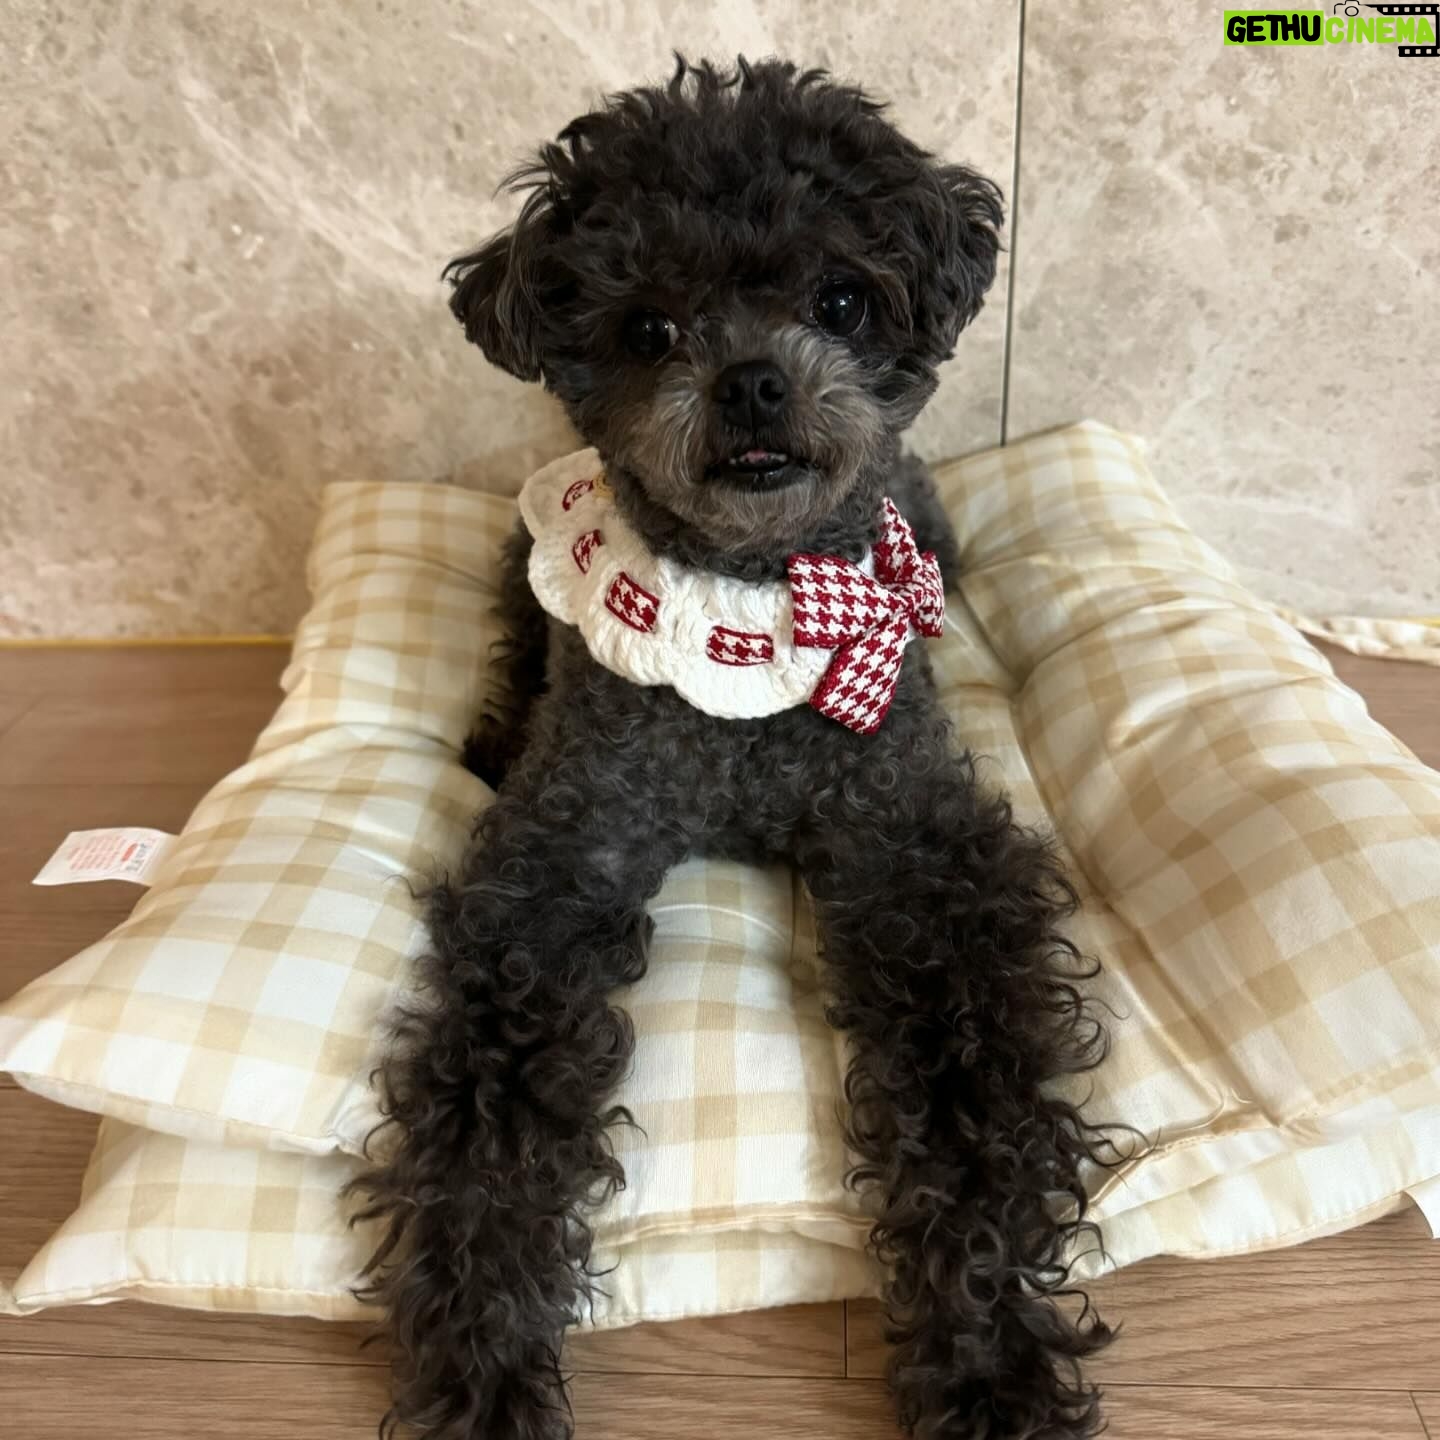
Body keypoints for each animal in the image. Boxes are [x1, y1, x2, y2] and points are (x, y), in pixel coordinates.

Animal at [350, 57, 1117, 1440]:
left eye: (841, 298)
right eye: (648, 327)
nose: (754, 381)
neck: (754, 606)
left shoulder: (914, 854)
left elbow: (973, 1110)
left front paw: (993, 1362)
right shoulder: (563, 859)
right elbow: (490, 1113)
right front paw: (481, 1362)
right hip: (519, 562)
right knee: (510, 641)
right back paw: (488, 729)